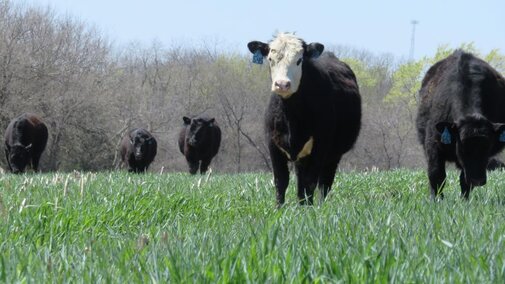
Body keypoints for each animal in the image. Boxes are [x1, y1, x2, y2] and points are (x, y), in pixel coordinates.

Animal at [246, 32, 360, 206]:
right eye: (270, 59)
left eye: (299, 60)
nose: (282, 84)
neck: (291, 116)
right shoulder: (272, 144)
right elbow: (281, 181)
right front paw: (279, 209)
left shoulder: (320, 146)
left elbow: (310, 182)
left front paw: (308, 210)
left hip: (333, 155)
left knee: (324, 183)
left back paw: (320, 205)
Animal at [416, 49, 504, 200]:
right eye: (462, 146)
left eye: (488, 147)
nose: (477, 180)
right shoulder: (432, 144)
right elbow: (436, 175)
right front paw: (436, 200)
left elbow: (464, 180)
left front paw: (464, 201)